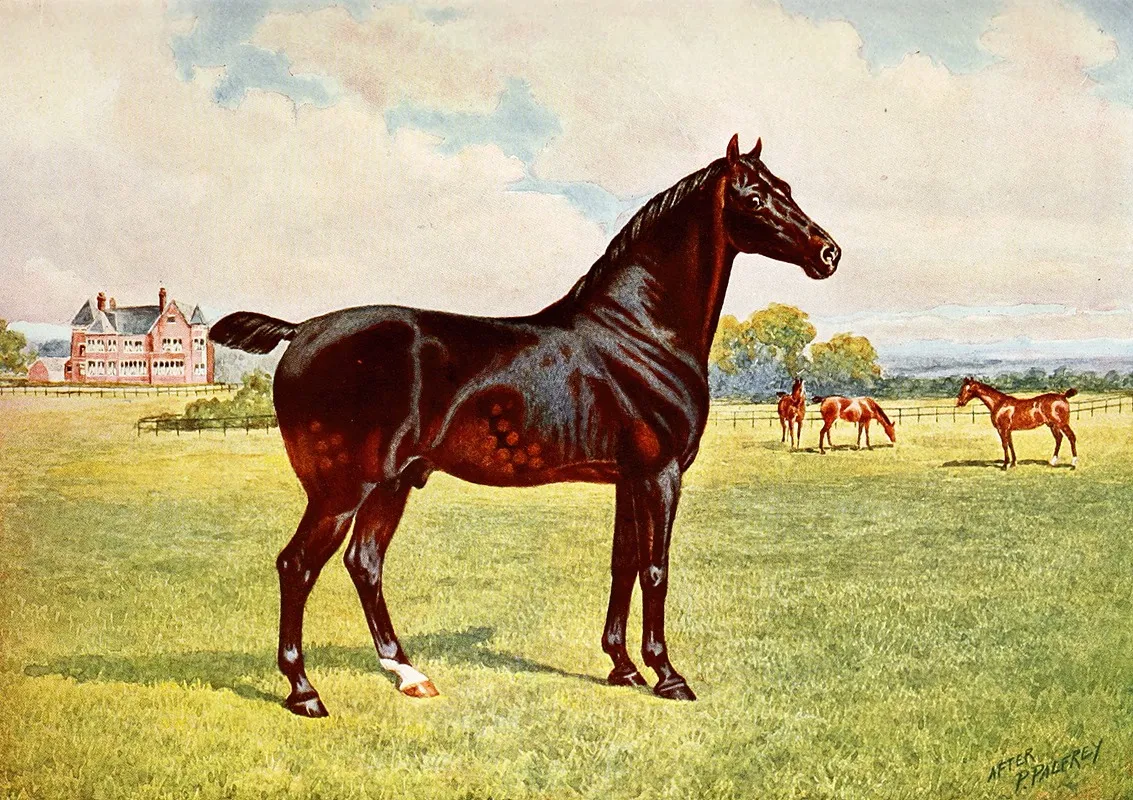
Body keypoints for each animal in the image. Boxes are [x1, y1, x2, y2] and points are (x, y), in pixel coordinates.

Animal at [210, 134, 841, 717]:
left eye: (786, 188)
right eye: (755, 198)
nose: (828, 253)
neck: (639, 334)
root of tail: (301, 330)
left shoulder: (628, 478)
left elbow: (623, 565)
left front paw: (622, 668)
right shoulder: (660, 475)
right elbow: (655, 569)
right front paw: (667, 676)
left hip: (391, 484)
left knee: (364, 564)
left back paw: (409, 675)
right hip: (340, 492)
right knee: (297, 566)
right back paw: (303, 692)